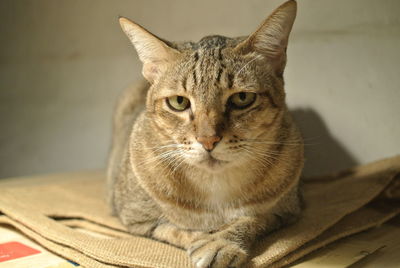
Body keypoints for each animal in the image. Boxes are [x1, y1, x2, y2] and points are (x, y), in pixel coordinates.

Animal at [106, 1, 304, 266]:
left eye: (242, 98)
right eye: (179, 102)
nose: (208, 140)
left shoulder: (287, 210)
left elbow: (252, 219)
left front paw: (222, 241)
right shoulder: (138, 221)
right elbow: (179, 230)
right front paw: (207, 238)